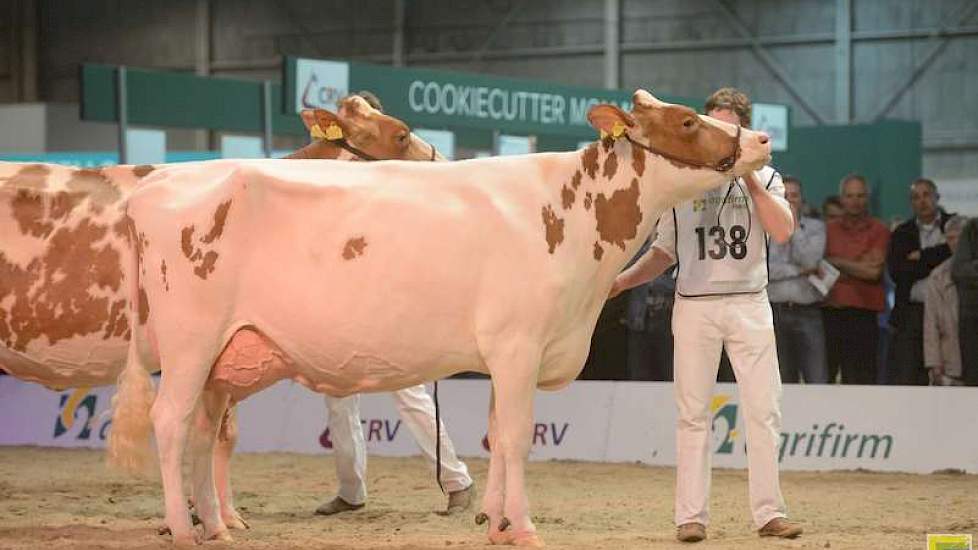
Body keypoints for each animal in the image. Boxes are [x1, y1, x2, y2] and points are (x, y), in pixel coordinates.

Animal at [0, 97, 438, 532]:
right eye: (401, 135)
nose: (446, 164)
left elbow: (222, 434)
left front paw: (221, 514)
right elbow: (212, 432)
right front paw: (206, 515)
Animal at [110, 90, 772, 548]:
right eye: (687, 121)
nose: (763, 138)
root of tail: (154, 187)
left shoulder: (512, 352)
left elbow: (498, 436)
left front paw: (497, 523)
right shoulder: (517, 344)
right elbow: (517, 437)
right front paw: (523, 527)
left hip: (223, 357)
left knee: (205, 430)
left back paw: (216, 526)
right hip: (191, 343)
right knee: (170, 423)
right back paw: (184, 527)